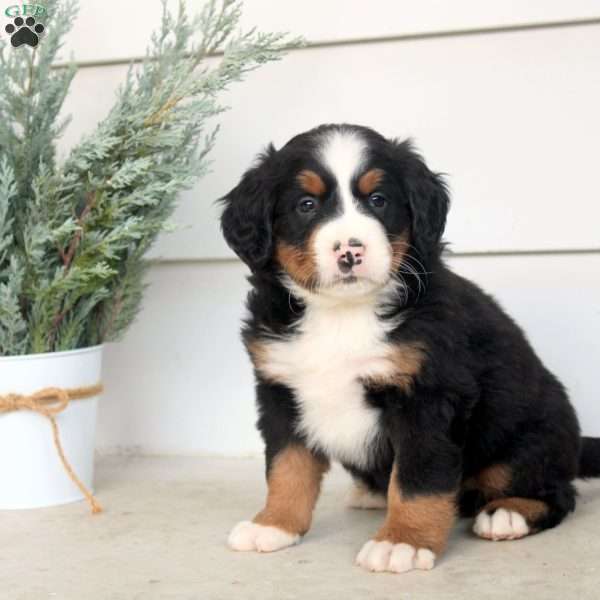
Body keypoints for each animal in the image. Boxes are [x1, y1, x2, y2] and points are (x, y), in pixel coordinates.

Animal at [220, 124, 600, 576]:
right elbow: (286, 467)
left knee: (557, 493)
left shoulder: (428, 397)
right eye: (306, 205)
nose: (350, 250)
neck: (343, 314)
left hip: (523, 443)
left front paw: (402, 541)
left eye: (378, 200)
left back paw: (506, 514)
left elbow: (418, 479)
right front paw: (274, 524)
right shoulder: (280, 390)